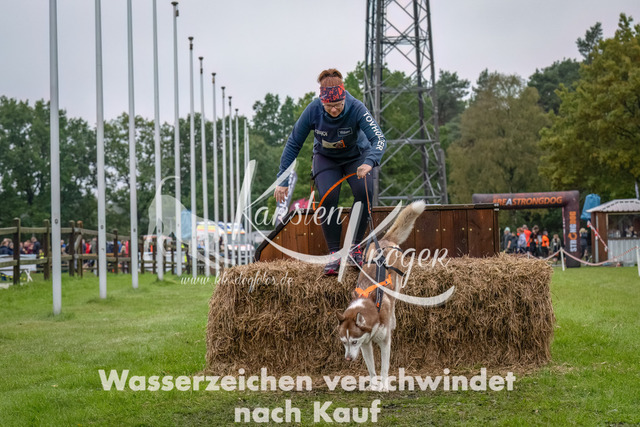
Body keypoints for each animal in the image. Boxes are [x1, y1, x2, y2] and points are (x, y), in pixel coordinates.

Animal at [337, 200, 426, 391]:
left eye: (353, 342)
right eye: (344, 342)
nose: (347, 359)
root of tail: (385, 240)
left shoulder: (384, 341)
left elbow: (384, 366)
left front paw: (384, 385)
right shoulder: (365, 344)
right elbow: (371, 368)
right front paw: (373, 384)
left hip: (398, 285)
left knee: (395, 302)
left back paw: (393, 319)